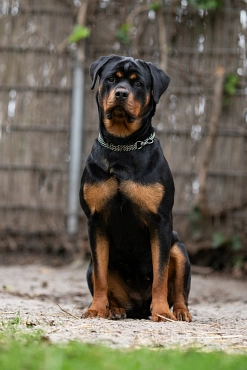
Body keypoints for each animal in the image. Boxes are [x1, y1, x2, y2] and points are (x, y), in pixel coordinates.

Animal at [80, 54, 192, 320]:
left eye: (139, 83)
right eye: (111, 79)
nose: (121, 93)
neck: (123, 144)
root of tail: (139, 306)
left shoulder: (160, 221)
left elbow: (160, 273)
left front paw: (161, 312)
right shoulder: (95, 221)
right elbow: (100, 276)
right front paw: (95, 309)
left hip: (179, 249)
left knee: (180, 290)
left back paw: (180, 312)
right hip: (89, 266)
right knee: (98, 275)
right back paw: (113, 309)